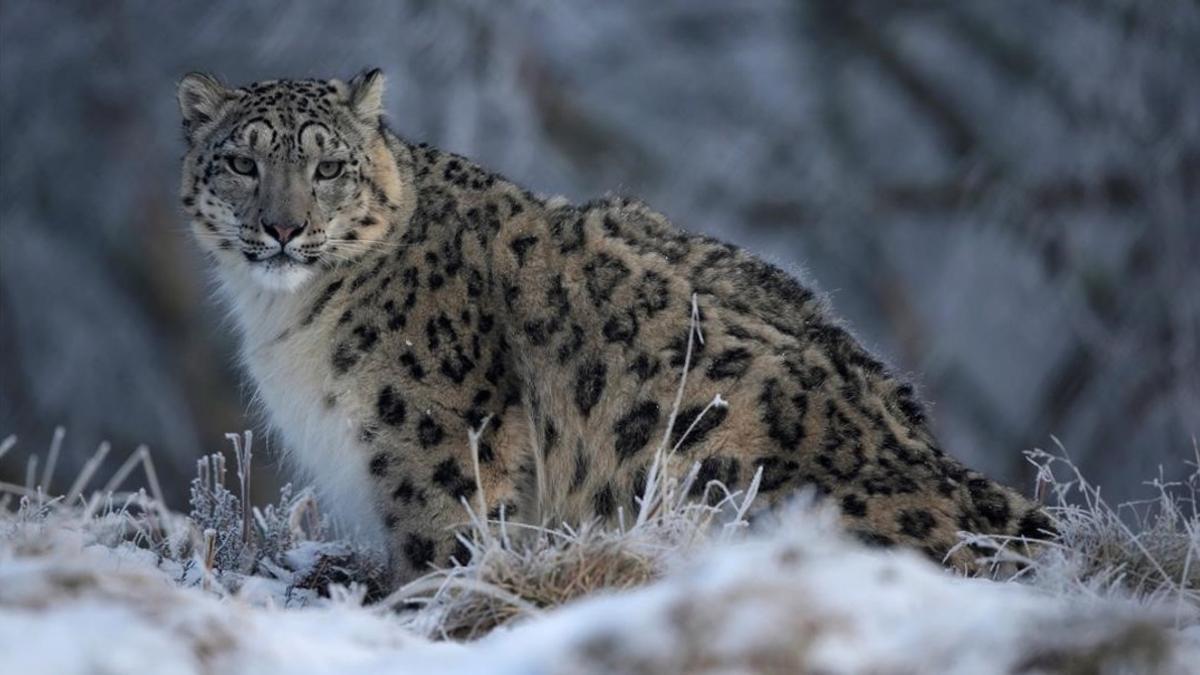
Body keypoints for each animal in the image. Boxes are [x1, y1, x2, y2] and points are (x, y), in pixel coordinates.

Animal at [177, 69, 1051, 583]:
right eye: (242, 162)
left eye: (328, 167)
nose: (283, 227)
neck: (283, 318)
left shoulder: (437, 448)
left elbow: (442, 551)